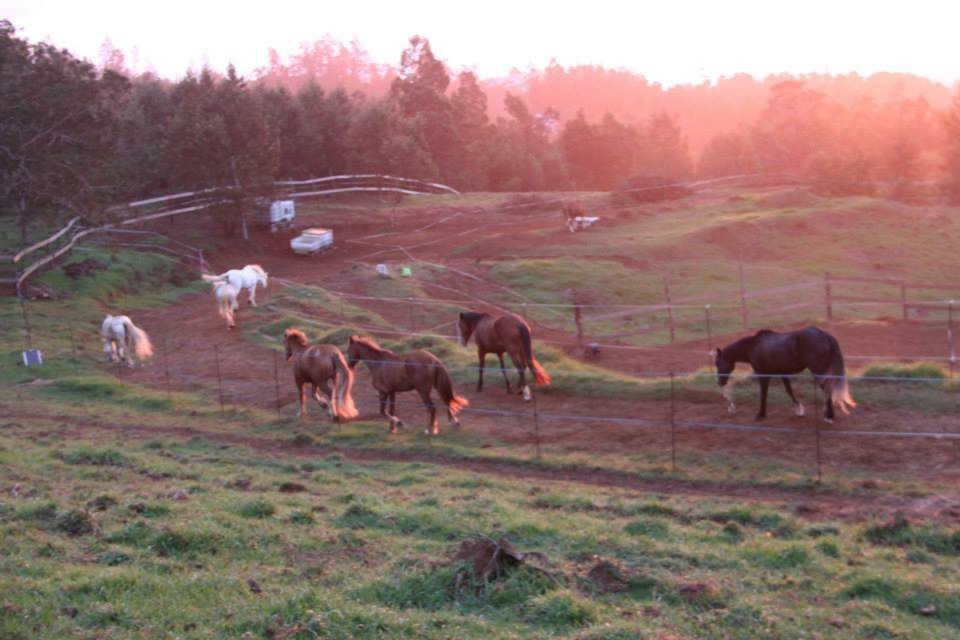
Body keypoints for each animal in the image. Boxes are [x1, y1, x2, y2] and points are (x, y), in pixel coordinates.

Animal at [712, 328, 856, 422]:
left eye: (717, 363)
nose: (719, 382)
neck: (753, 346)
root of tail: (824, 335)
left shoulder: (763, 375)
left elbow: (763, 395)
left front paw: (760, 415)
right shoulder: (782, 373)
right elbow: (789, 390)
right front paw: (799, 410)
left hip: (818, 371)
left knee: (827, 389)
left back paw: (829, 416)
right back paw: (828, 414)